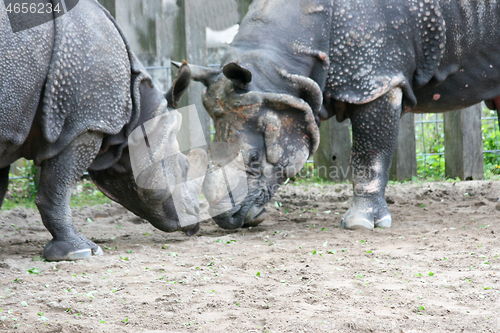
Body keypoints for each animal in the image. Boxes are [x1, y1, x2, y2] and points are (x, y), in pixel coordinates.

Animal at [1, 0, 201, 260]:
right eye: (184, 167)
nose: (195, 220)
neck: (140, 114)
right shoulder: (86, 124)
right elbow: (58, 187)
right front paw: (81, 251)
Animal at [187, 0, 500, 228]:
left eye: (253, 158)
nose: (225, 220)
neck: (282, 69)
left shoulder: (376, 79)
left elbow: (369, 155)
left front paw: (360, 223)